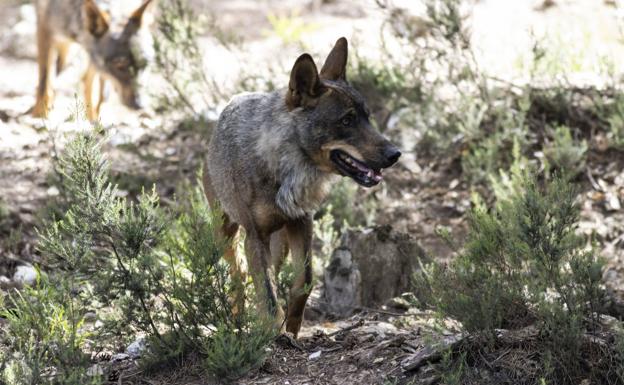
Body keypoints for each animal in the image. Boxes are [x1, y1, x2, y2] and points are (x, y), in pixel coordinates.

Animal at [202, 36, 402, 336]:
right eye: (346, 120)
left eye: (367, 117)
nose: (395, 154)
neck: (288, 167)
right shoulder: (255, 236)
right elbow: (268, 296)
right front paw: (273, 333)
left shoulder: (301, 224)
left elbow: (303, 282)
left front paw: (292, 329)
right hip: (226, 234)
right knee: (239, 272)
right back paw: (237, 316)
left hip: (280, 240)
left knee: (265, 272)